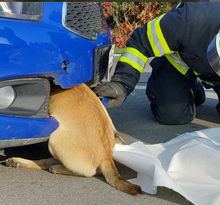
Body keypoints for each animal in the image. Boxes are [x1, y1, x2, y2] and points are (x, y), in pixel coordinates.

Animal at [5, 83, 141, 194]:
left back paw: (54, 168)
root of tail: (106, 155)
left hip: (55, 141)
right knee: (46, 162)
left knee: (88, 172)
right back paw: (17, 161)